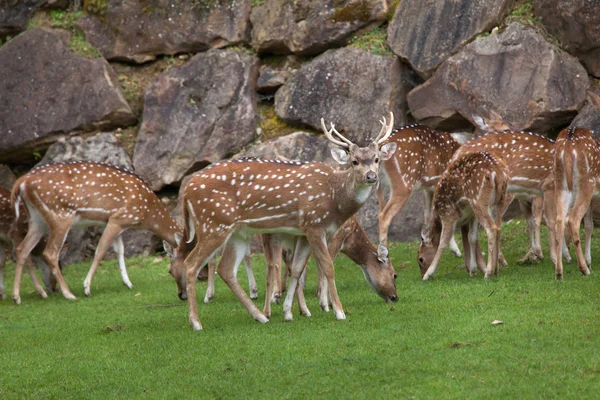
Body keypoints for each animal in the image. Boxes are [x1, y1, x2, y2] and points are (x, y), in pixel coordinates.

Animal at [9, 159, 182, 304]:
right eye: (170, 271)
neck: (148, 212)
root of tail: (21, 182)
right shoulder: (118, 218)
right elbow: (100, 250)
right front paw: (86, 288)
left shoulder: (115, 222)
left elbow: (120, 250)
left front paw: (128, 283)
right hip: (60, 215)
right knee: (50, 252)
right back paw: (69, 294)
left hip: (37, 219)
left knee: (22, 249)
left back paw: (21, 296)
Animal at [164, 113, 398, 332]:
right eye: (354, 161)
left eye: (376, 159)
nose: (371, 176)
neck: (334, 200)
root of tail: (186, 191)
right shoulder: (314, 224)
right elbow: (327, 267)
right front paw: (337, 311)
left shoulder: (302, 233)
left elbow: (296, 269)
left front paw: (289, 312)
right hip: (214, 224)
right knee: (191, 264)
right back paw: (196, 322)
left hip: (237, 231)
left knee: (226, 268)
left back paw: (260, 316)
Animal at [378, 123, 462, 256]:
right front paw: (455, 250)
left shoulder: (427, 188)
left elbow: (427, 215)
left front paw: (425, 242)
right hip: (403, 184)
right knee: (384, 216)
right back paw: (384, 255)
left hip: (378, 184)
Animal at [418, 152, 510, 280]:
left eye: (420, 259)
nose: (422, 274)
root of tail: (498, 173)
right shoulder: (471, 216)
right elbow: (472, 237)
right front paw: (472, 270)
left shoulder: (448, 214)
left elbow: (443, 242)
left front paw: (428, 274)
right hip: (498, 200)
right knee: (498, 228)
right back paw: (495, 269)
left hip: (478, 200)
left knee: (491, 228)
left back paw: (488, 273)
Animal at [552, 126, 600, 280]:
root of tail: (568, 144)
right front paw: (588, 262)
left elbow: (590, 225)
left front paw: (589, 260)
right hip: (587, 182)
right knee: (573, 219)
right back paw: (584, 269)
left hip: (561, 183)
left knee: (559, 220)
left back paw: (559, 272)